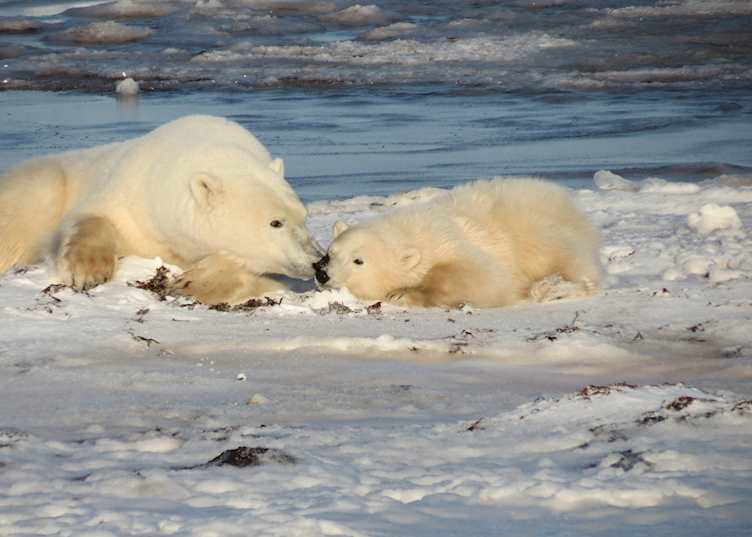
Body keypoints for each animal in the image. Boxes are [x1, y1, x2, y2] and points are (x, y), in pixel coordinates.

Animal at [0, 115, 322, 304]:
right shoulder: (130, 193)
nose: (318, 260)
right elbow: (94, 217)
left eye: (304, 217)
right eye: (275, 222)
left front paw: (187, 283)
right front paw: (87, 272)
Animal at [313, 178, 601, 308]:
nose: (322, 273)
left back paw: (552, 288)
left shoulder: (452, 239)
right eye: (330, 253)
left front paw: (403, 294)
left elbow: (484, 276)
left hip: (534, 229)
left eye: (358, 260)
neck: (413, 233)